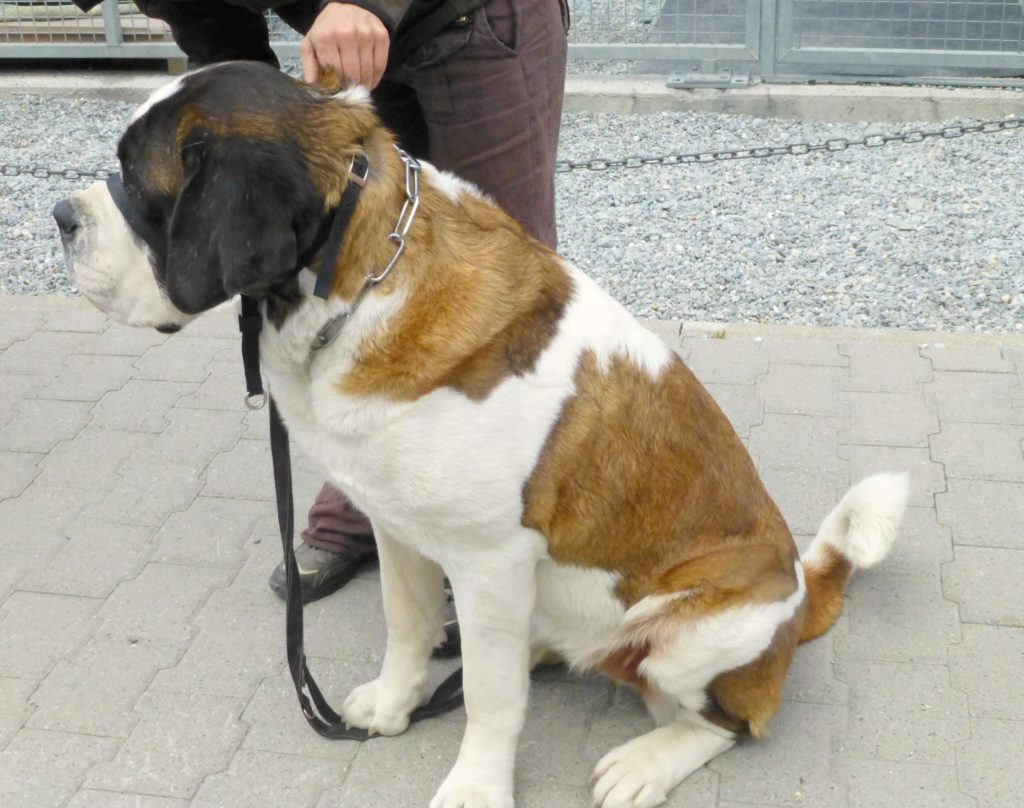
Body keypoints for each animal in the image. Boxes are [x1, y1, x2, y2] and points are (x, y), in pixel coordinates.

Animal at [56, 61, 905, 806]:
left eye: (136, 178)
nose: (61, 216)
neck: (357, 279)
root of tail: (799, 595)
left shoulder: (491, 558)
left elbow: (491, 701)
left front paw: (476, 786)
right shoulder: (396, 526)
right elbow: (405, 621)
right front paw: (393, 704)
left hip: (695, 634)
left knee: (729, 722)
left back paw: (646, 761)